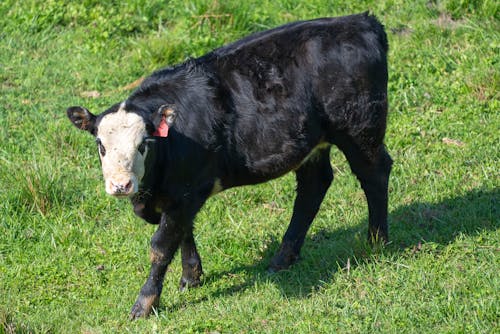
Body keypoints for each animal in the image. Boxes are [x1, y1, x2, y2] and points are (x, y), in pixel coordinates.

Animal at [66, 13, 392, 320]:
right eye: (100, 145)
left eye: (143, 144)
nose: (121, 185)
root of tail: (360, 21)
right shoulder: (181, 194)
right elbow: (183, 231)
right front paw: (191, 276)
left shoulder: (185, 191)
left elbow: (161, 246)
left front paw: (144, 303)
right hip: (314, 143)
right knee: (314, 186)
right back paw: (283, 258)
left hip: (360, 129)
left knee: (374, 174)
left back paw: (376, 242)